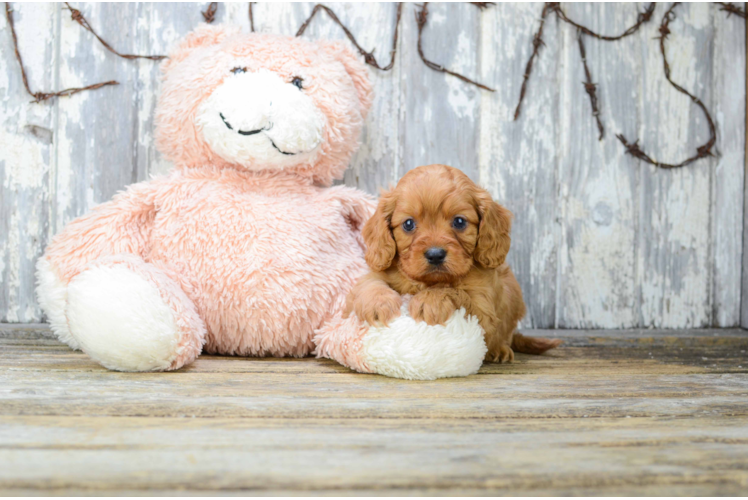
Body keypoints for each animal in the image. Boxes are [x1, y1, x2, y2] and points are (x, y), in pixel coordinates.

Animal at [344, 164, 560, 364]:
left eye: (459, 222)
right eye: (408, 224)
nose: (435, 255)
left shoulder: (483, 312)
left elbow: (452, 290)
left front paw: (429, 300)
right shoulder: (378, 271)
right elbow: (370, 282)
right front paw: (378, 303)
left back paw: (499, 349)